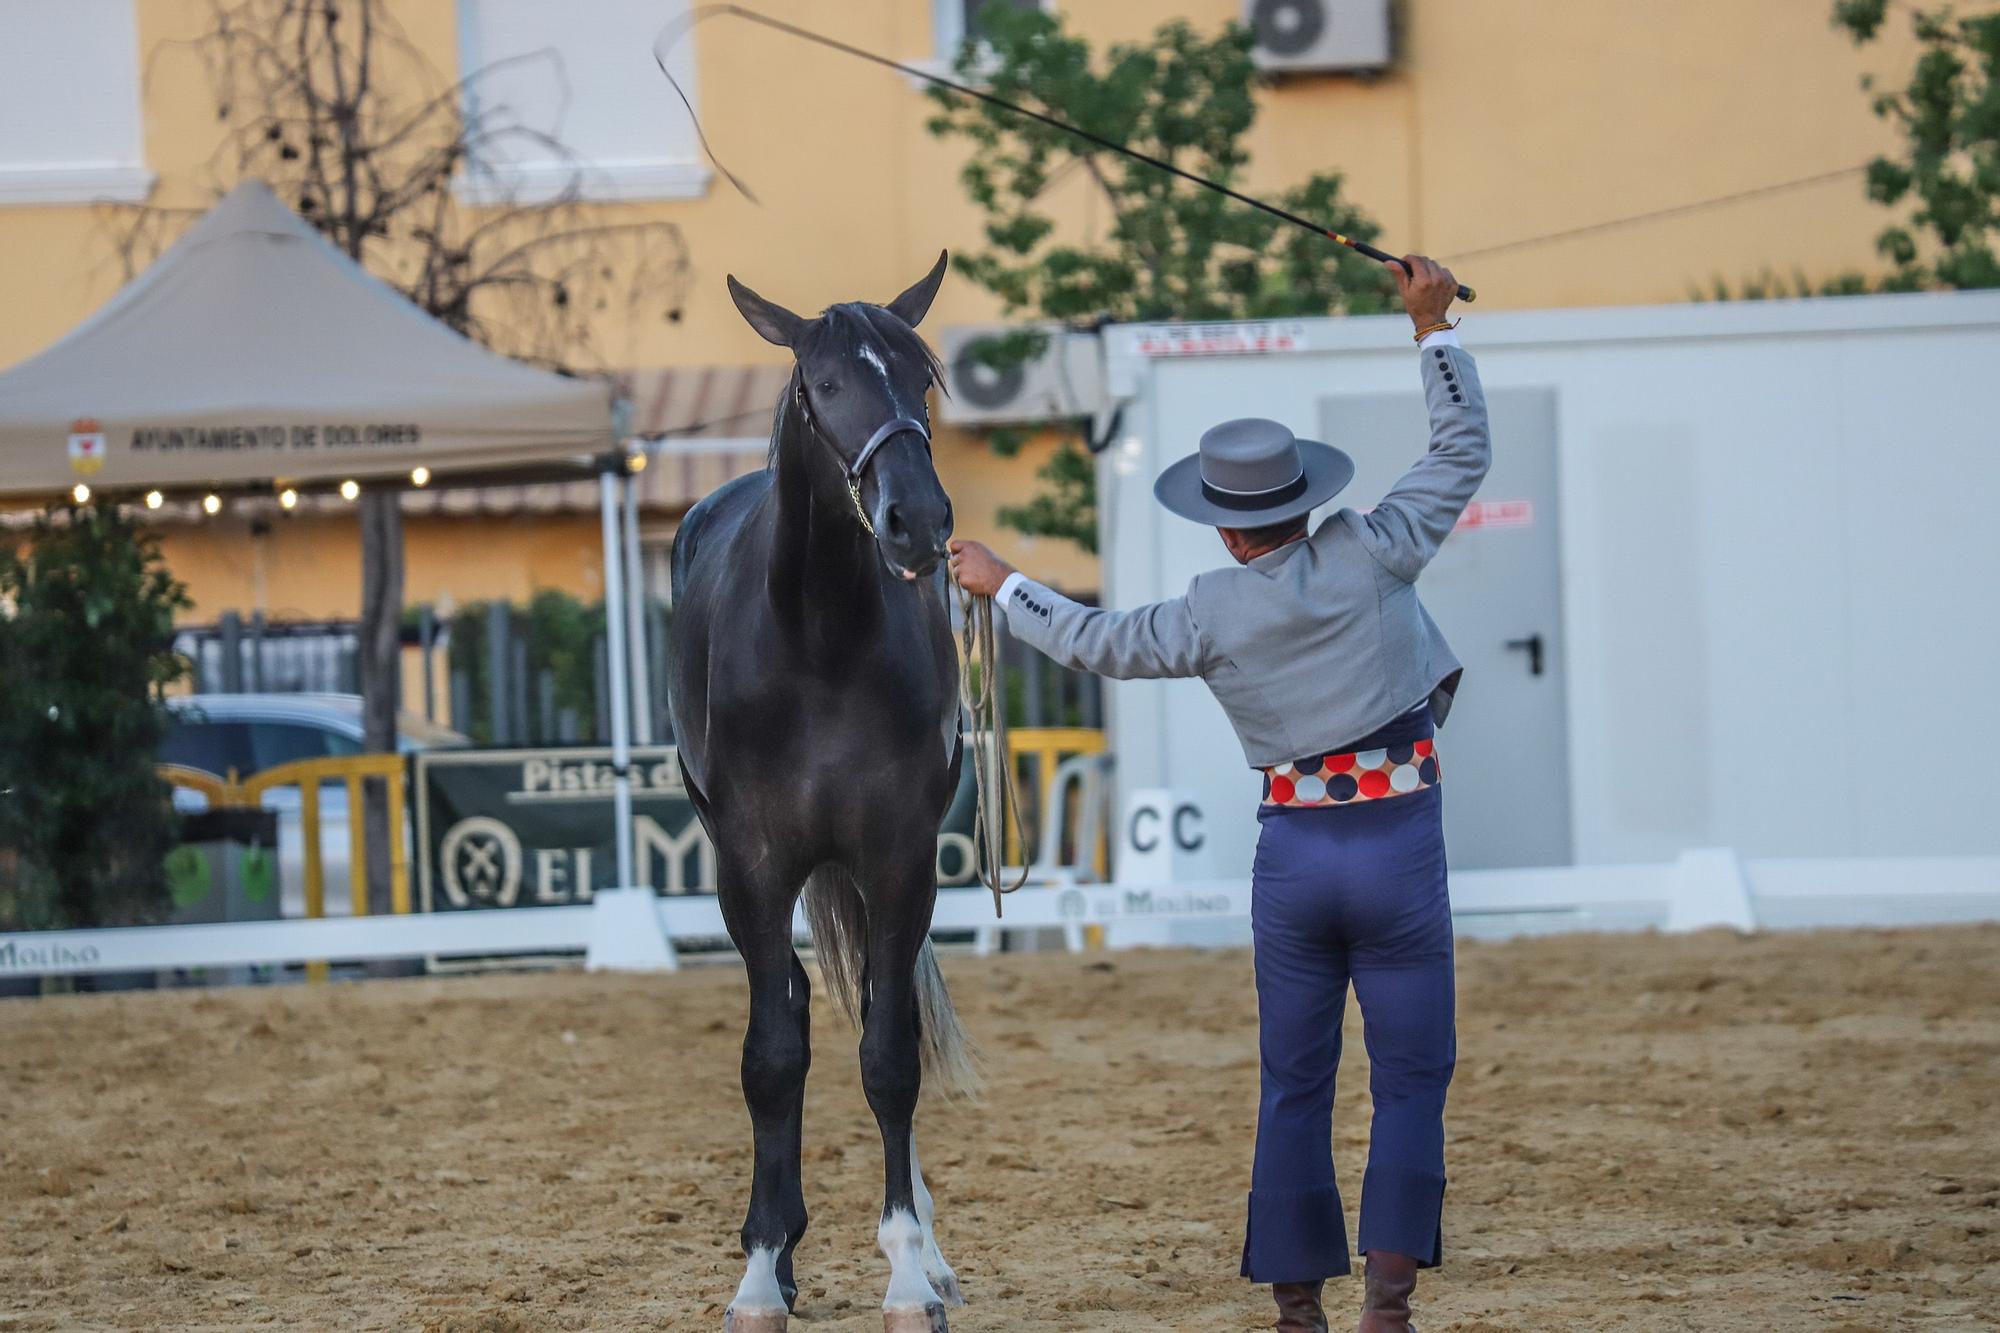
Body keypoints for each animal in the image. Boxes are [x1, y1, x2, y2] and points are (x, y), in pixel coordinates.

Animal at [668, 252, 972, 1328]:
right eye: (826, 383)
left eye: (922, 377)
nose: (918, 521)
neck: (822, 641)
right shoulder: (751, 869)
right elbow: (772, 1055)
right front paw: (762, 1269)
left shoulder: (901, 861)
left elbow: (890, 1054)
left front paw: (908, 1270)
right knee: (795, 1010)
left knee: (889, 1012)